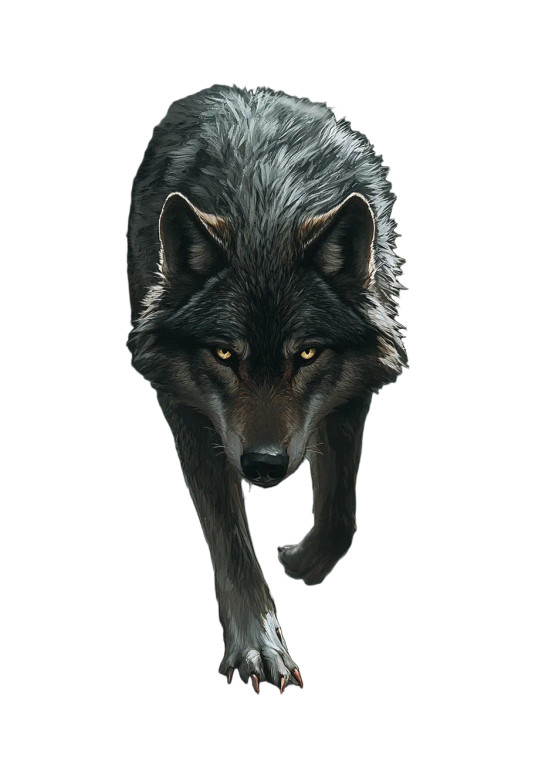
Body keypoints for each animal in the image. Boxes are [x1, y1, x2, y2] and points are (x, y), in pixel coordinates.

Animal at [127, 85, 407, 693]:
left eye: (306, 353)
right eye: (224, 354)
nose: (262, 465)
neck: (267, 211)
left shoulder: (350, 391)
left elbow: (340, 508)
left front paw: (305, 561)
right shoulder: (190, 410)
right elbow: (230, 538)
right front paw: (259, 644)